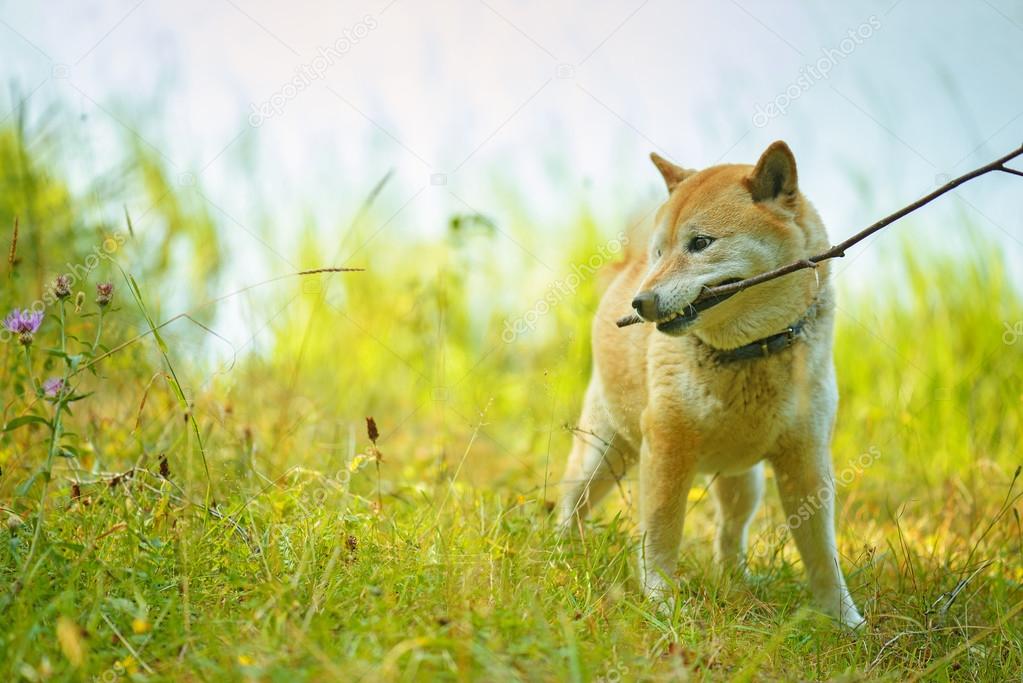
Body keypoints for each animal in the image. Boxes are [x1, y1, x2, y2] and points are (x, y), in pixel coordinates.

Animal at [560, 141, 863, 625]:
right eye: (660, 253)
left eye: (700, 243)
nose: (641, 303)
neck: (748, 351)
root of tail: (624, 270)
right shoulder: (667, 447)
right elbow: (661, 533)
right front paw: (660, 600)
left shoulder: (807, 459)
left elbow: (821, 553)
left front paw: (845, 620)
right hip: (603, 454)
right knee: (571, 503)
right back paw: (561, 551)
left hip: (744, 480)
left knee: (729, 532)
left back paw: (737, 579)